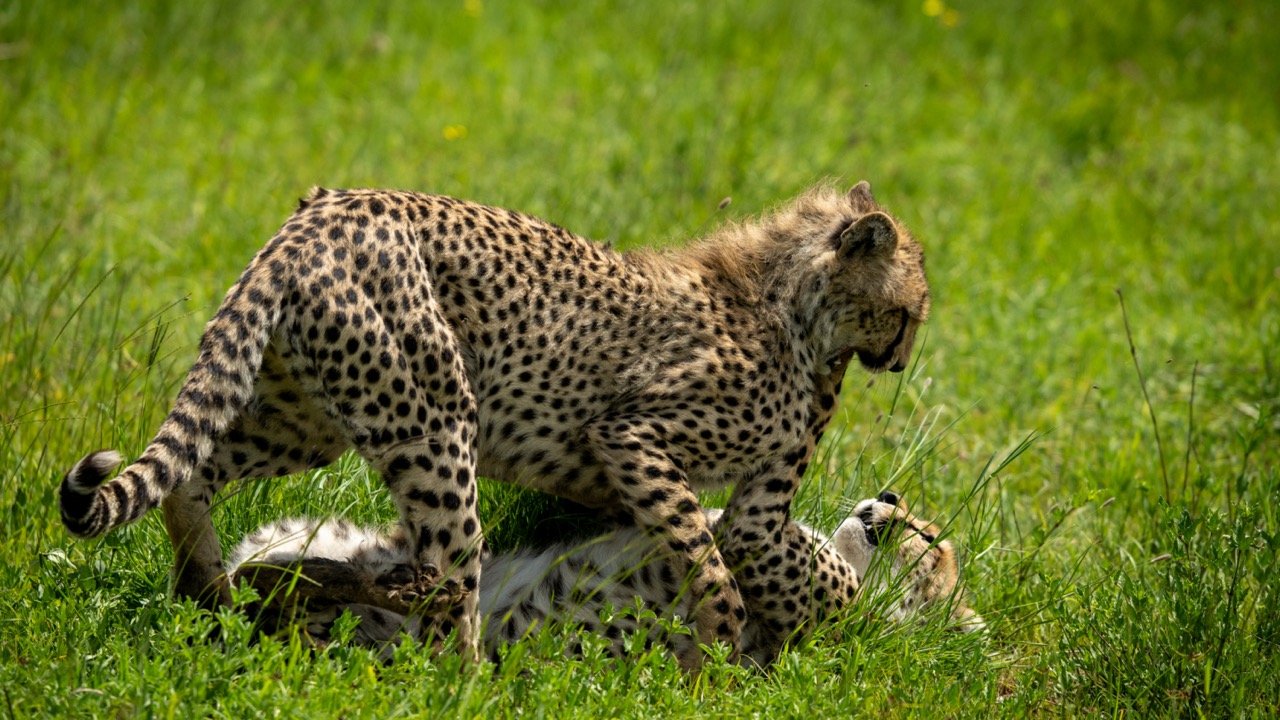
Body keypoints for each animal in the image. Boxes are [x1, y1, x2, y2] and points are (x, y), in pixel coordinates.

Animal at [58, 180, 930, 667]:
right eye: (909, 312)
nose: (902, 361)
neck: (793, 300)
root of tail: (328, 211)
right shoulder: (636, 439)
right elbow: (717, 566)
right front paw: (716, 650)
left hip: (308, 417)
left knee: (194, 474)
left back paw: (211, 594)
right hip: (436, 423)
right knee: (447, 590)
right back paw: (465, 681)